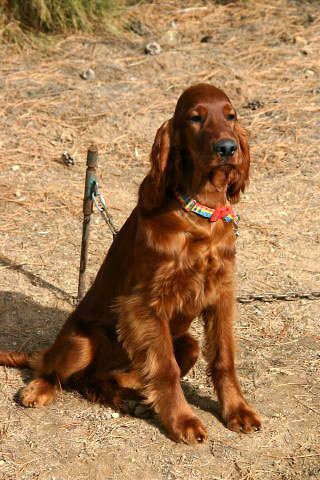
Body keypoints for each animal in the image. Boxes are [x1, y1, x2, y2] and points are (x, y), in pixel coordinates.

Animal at [0, 84, 260, 444]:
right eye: (195, 118)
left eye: (231, 116)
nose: (227, 147)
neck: (200, 213)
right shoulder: (145, 303)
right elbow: (166, 369)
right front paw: (182, 420)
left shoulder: (220, 293)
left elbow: (223, 359)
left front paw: (237, 410)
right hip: (82, 341)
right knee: (57, 373)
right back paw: (39, 390)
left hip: (186, 342)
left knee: (98, 380)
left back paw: (130, 397)